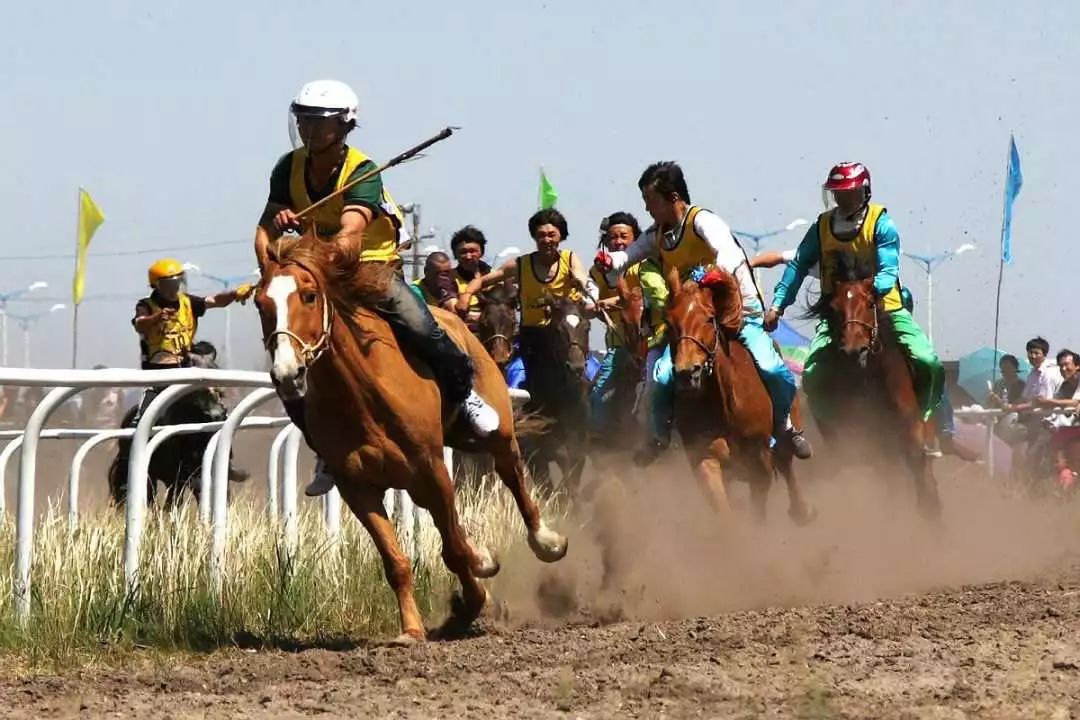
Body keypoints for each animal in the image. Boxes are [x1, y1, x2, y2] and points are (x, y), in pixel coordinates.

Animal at [254, 233, 567, 642]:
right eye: (261, 303)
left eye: (308, 295)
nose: (287, 374)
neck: (361, 396)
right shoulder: (357, 486)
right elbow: (396, 560)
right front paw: (413, 628)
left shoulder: (431, 469)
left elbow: (454, 549)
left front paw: (472, 601)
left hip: (493, 434)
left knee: (512, 473)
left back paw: (545, 540)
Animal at [517, 295, 591, 495]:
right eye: (558, 330)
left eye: (587, 327)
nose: (576, 368)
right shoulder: (538, 449)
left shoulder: (580, 440)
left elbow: (576, 463)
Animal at [665, 268, 815, 525]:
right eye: (670, 323)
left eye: (709, 318)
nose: (687, 372)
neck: (724, 405)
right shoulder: (705, 458)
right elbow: (723, 508)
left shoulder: (761, 462)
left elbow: (759, 509)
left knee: (787, 465)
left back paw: (801, 510)